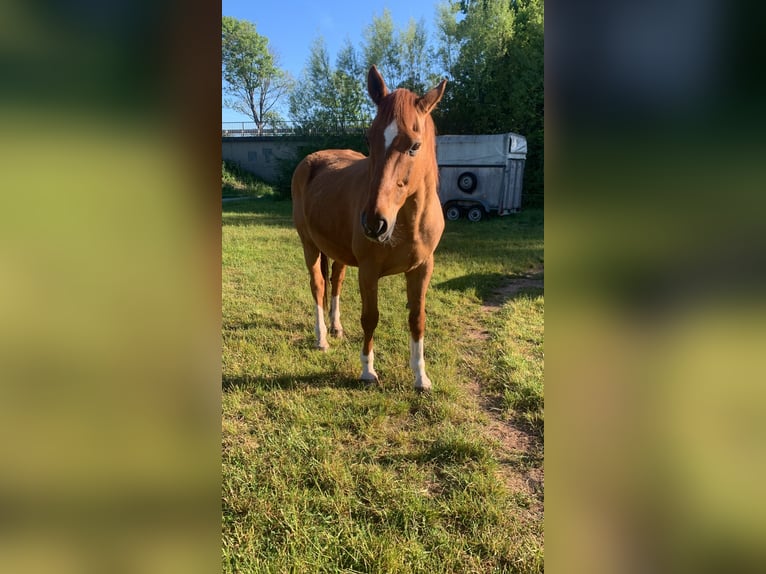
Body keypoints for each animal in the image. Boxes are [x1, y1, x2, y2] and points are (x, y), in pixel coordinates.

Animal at [291, 65, 447, 391]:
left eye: (415, 145)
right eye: (369, 138)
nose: (375, 223)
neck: (408, 222)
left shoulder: (423, 268)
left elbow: (417, 319)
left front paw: (421, 377)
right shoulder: (368, 269)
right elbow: (370, 317)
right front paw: (367, 371)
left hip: (336, 252)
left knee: (335, 282)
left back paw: (336, 328)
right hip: (309, 245)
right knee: (318, 285)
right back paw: (322, 338)